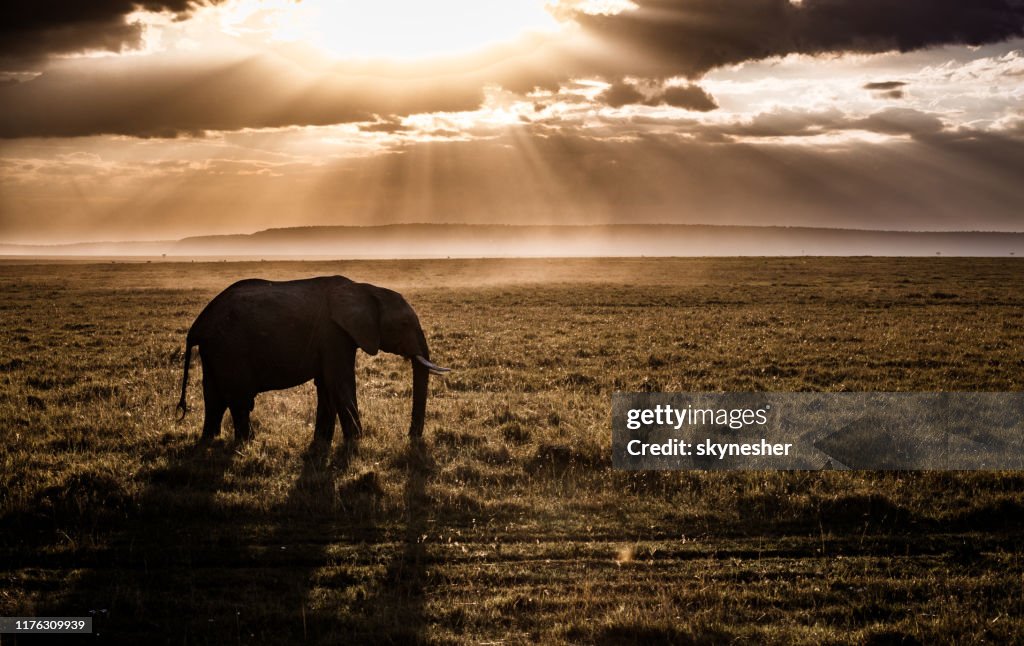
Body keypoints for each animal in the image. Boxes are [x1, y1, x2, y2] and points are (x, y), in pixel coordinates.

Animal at [174, 272, 450, 444]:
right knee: (239, 398)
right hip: (230, 348)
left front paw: (321, 443)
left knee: (214, 398)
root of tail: (197, 326)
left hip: (215, 351)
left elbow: (326, 385)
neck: (365, 288)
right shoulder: (334, 333)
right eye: (404, 324)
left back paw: (211, 439)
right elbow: (339, 381)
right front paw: (356, 442)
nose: (411, 437)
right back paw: (248, 443)